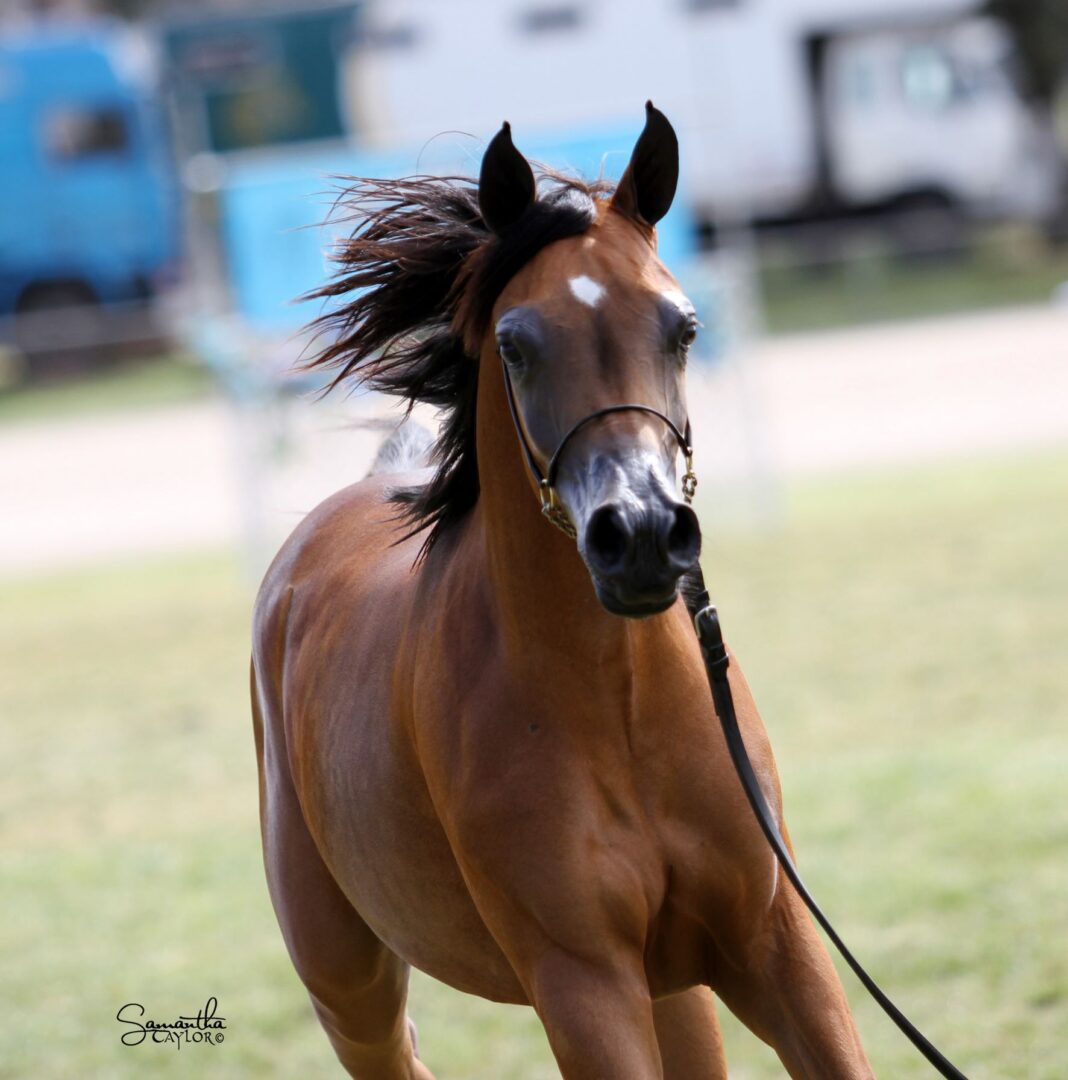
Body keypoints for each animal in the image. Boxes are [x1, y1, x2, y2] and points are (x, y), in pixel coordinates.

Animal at [251, 103, 876, 1080]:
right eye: (515, 343)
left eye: (683, 327)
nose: (643, 534)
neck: (620, 712)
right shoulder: (582, 983)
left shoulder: (774, 941)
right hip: (347, 982)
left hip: (677, 988)